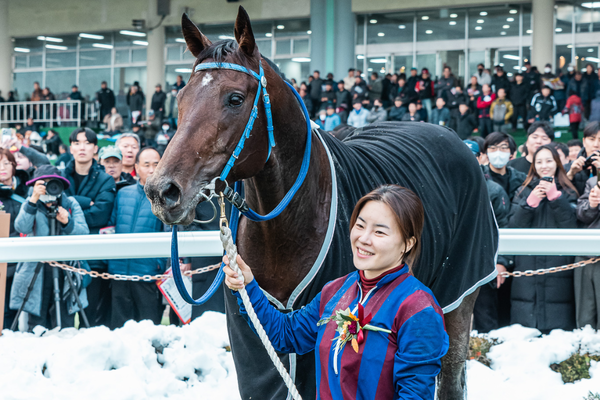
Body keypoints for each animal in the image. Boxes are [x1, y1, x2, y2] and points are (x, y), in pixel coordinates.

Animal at [145, 7, 496, 400]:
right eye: (181, 98)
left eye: (234, 98)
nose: (162, 191)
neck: (286, 227)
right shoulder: (253, 347)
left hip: (458, 297)